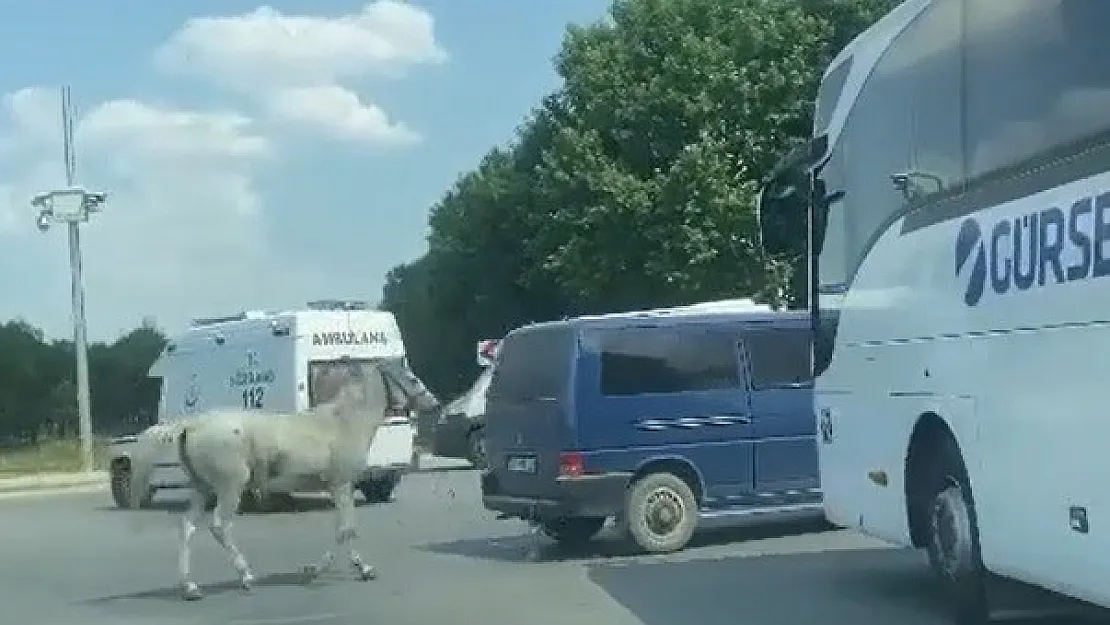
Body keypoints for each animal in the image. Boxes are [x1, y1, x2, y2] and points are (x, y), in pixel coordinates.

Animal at [148, 357, 441, 599]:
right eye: (412, 379)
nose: (435, 404)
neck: (345, 422)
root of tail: (191, 426)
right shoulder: (341, 484)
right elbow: (345, 530)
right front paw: (329, 570)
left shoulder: (339, 488)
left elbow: (346, 529)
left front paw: (356, 568)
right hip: (230, 487)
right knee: (219, 526)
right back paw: (246, 576)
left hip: (202, 488)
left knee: (187, 527)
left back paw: (190, 587)